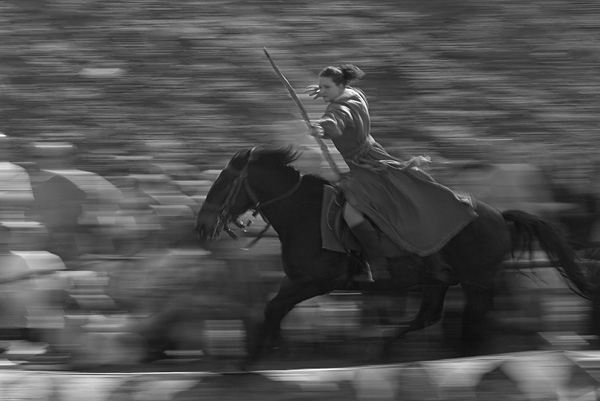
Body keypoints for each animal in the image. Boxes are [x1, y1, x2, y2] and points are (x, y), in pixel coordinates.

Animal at [194, 146, 593, 365]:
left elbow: (272, 309)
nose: (201, 226)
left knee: (473, 321)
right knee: (430, 315)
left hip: (476, 282)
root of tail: (499, 216)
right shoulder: (297, 282)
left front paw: (255, 355)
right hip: (438, 279)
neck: (303, 213)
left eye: (223, 182)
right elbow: (271, 310)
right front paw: (268, 348)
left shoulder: (313, 282)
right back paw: (383, 348)